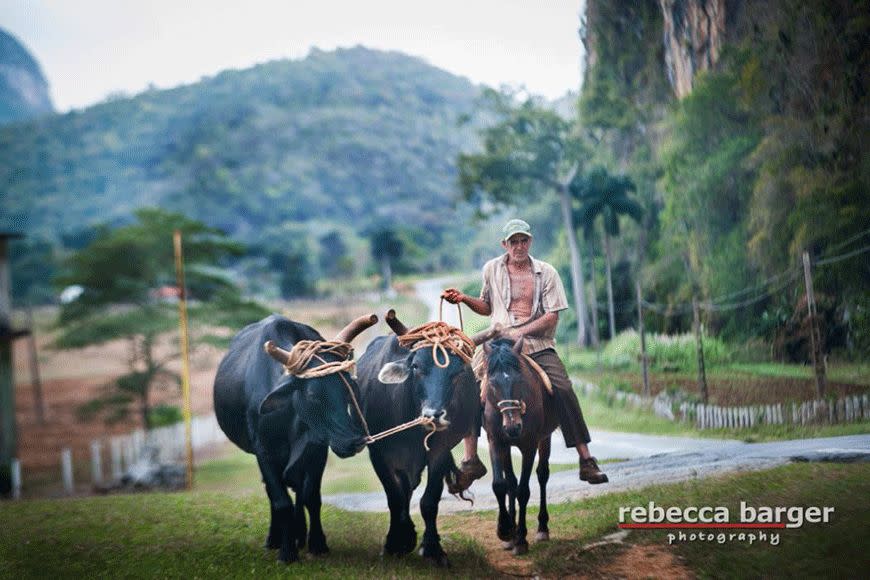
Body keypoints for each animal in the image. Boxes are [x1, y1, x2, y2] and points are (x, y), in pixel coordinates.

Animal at [480, 338, 564, 556]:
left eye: (519, 381)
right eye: (492, 383)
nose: (513, 427)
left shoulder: (529, 445)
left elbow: (523, 491)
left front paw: (521, 539)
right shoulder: (496, 442)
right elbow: (501, 485)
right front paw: (505, 530)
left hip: (544, 438)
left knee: (542, 474)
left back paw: (542, 528)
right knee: (511, 482)